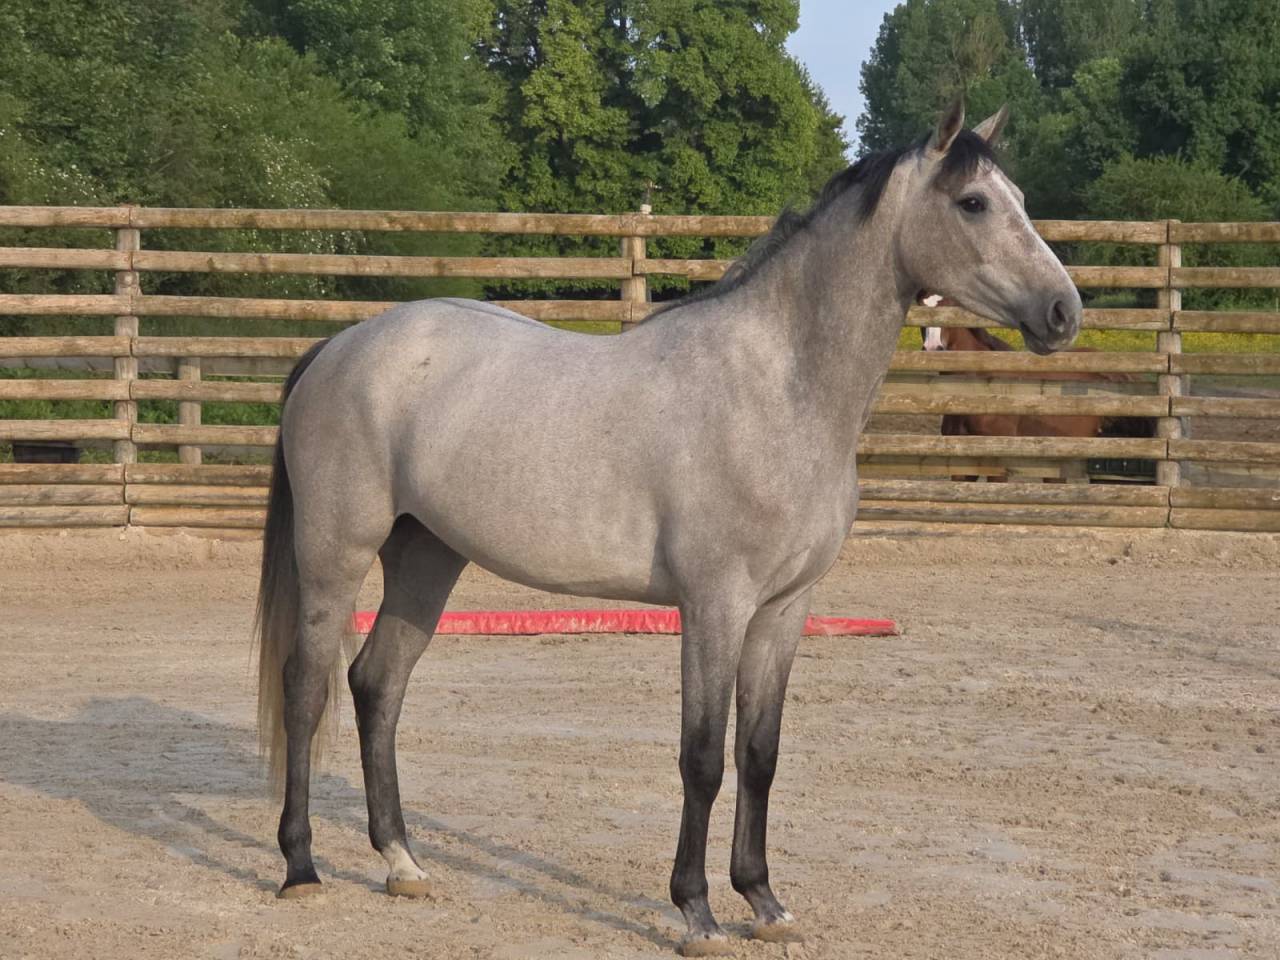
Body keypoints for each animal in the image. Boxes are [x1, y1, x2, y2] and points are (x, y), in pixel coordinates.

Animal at [253, 100, 1081, 956]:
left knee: (378, 683)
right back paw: (301, 868)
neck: (778, 389)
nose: (1064, 312)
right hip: (335, 555)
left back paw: (403, 862)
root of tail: (337, 347)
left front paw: (765, 902)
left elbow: (759, 753)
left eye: (1018, 197)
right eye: (973, 202)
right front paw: (698, 912)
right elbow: (703, 758)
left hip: (427, 558)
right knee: (307, 687)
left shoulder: (785, 610)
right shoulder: (714, 606)